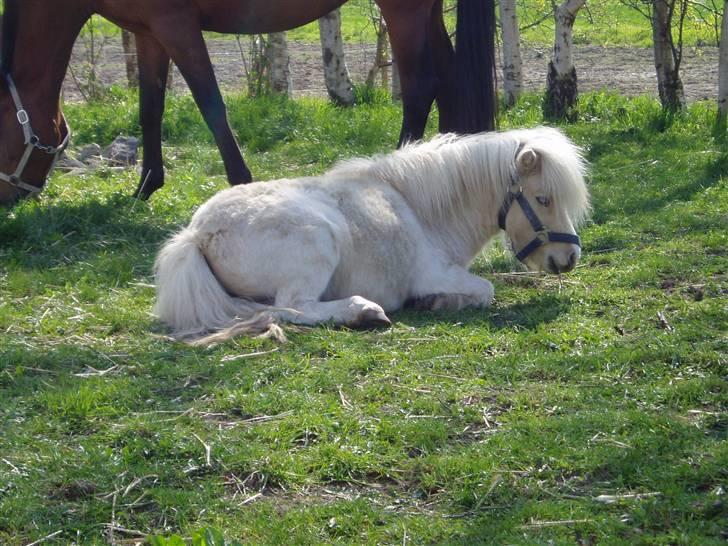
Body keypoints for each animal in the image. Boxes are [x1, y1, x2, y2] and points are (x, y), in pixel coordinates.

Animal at [0, 0, 494, 204]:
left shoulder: (176, 25)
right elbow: (150, 109)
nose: (7, 200)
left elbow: (211, 105)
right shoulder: (148, 32)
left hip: (404, 7)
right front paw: (145, 186)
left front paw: (240, 183)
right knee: (449, 80)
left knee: (421, 86)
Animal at [155, 126, 592, 342]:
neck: (419, 210)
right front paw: (438, 302)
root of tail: (197, 234)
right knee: (291, 308)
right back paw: (363, 311)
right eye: (543, 198)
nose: (570, 259)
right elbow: (485, 289)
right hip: (317, 242)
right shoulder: (436, 274)